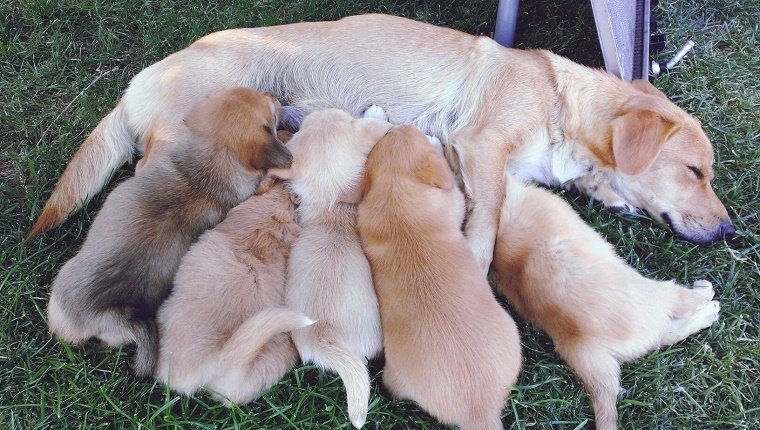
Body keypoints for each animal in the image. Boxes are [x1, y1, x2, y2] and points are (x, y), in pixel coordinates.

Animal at [26, 15, 732, 274]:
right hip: (189, 135)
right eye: (695, 170)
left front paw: (610, 193)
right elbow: (489, 216)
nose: (730, 232)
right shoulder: (480, 144)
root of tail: (136, 85)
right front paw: (474, 264)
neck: (564, 102)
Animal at [358, 124, 524, 430]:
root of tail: (479, 410)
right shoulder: (454, 201)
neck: (397, 191)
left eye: (386, 138)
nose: (400, 126)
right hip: (395, 377)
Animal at [490, 175, 720, 430]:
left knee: (668, 333)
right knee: (679, 303)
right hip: (650, 292)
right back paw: (707, 298)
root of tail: (592, 348)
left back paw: (707, 313)